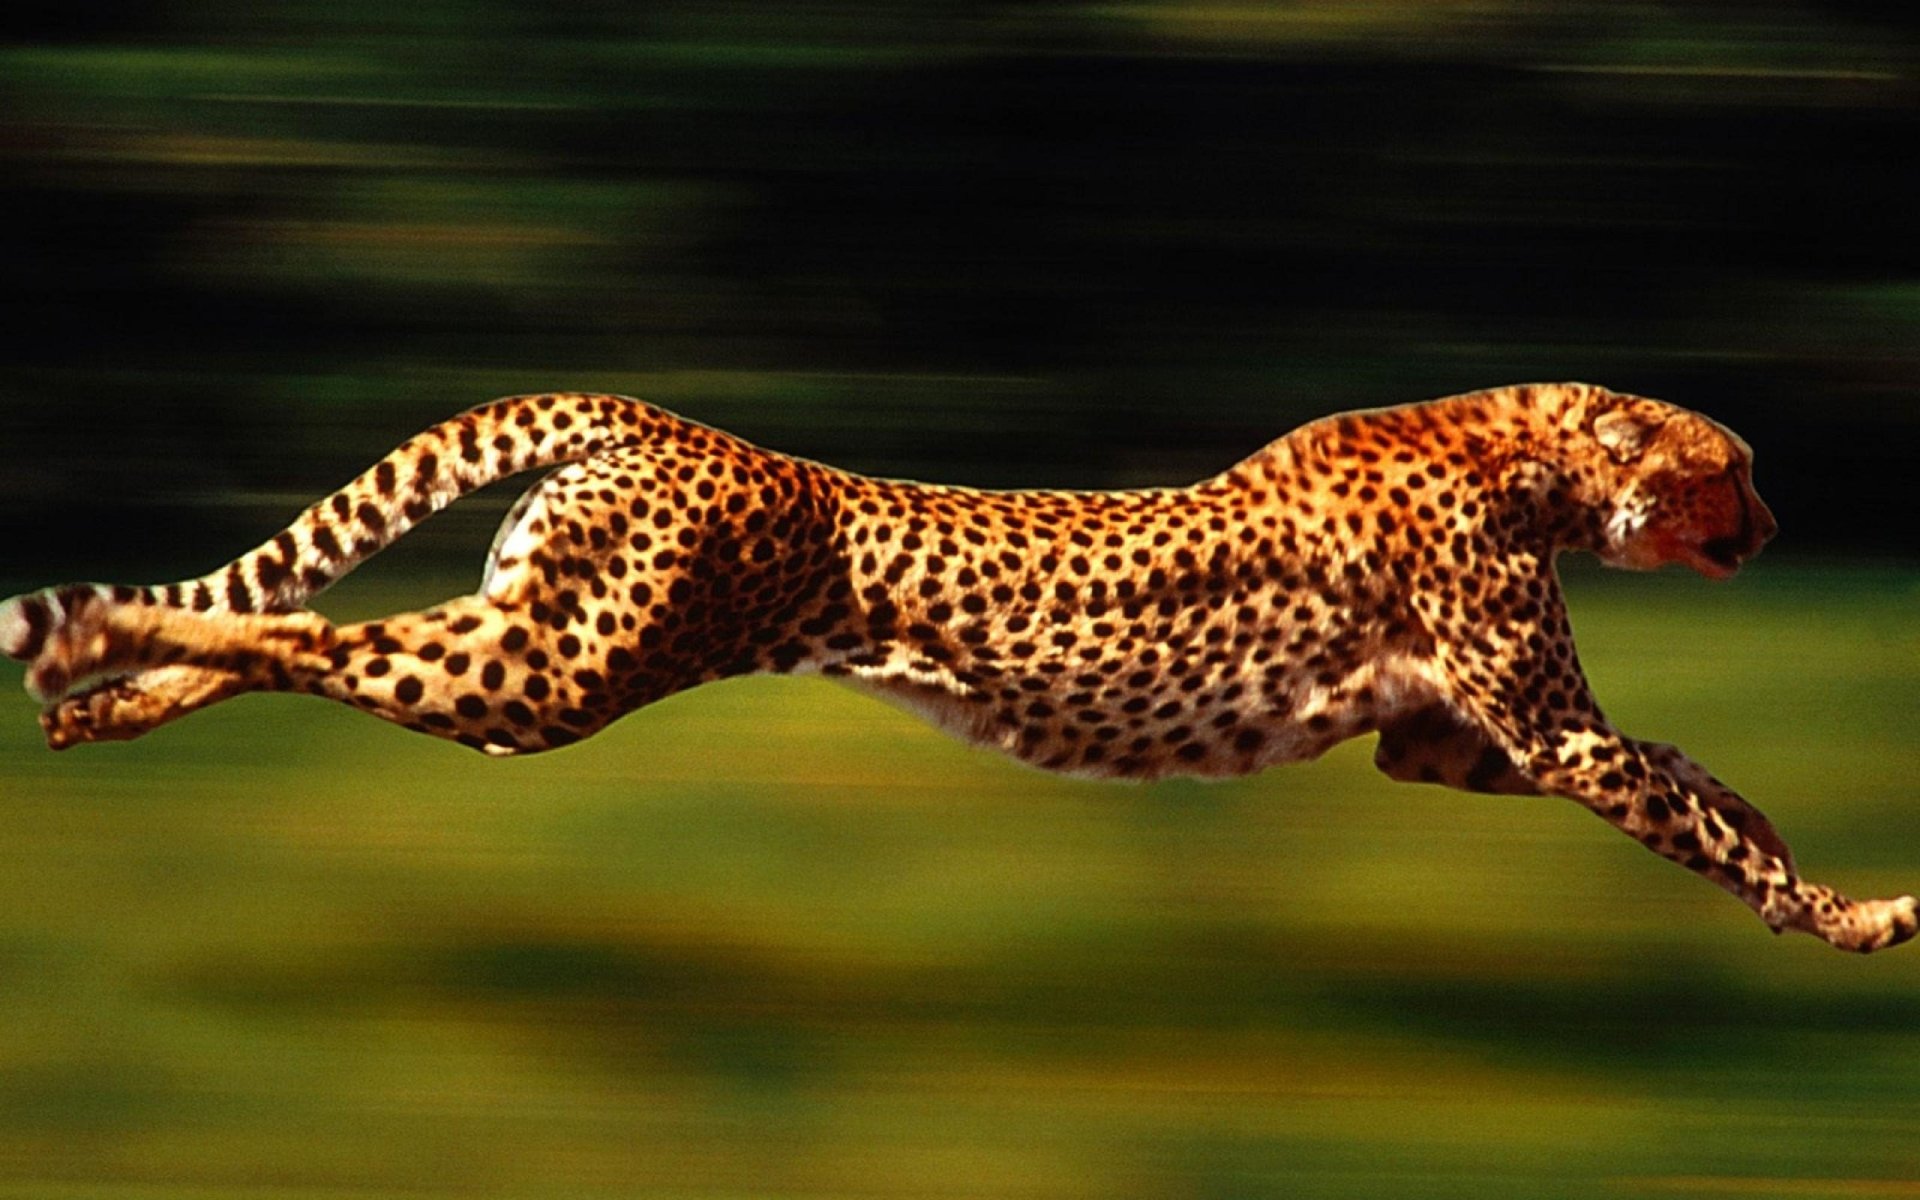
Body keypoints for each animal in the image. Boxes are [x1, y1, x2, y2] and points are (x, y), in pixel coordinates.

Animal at [1, 382, 1912, 953]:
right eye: (1736, 463)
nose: (1776, 513)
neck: (1531, 450)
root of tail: (654, 414)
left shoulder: (1443, 747)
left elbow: (1698, 776)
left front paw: (1809, 876)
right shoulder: (1541, 737)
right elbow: (1688, 801)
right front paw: (1853, 916)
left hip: (523, 648)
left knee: (316, 639)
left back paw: (105, 695)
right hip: (555, 673)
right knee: (311, 630)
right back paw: (93, 641)